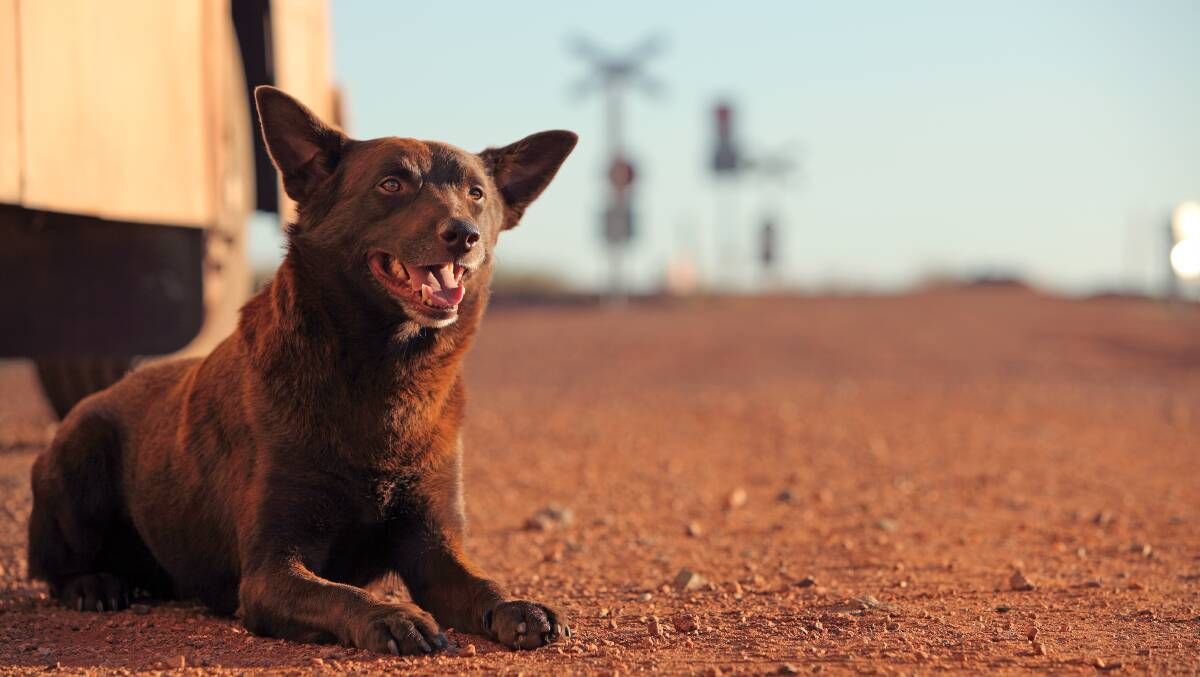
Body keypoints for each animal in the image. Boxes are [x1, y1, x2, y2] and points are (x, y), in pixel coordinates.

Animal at [24, 87, 576, 652]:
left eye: (476, 194)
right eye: (392, 184)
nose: (463, 235)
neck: (386, 376)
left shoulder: (434, 551)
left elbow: (481, 583)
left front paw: (517, 606)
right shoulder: (269, 572)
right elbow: (340, 595)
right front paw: (391, 615)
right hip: (79, 453)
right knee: (54, 567)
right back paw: (95, 584)